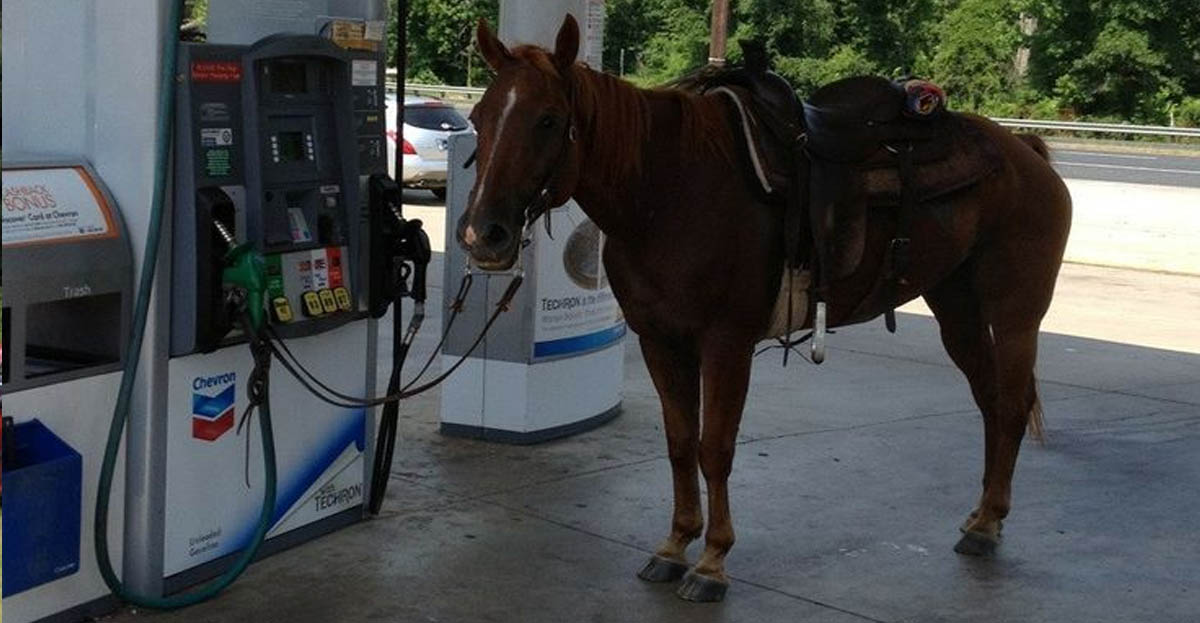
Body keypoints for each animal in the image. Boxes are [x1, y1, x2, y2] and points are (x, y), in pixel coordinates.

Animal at [453, 14, 1075, 602]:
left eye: (548, 120)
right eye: (480, 116)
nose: (484, 235)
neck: (669, 191)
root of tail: (1026, 152)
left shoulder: (725, 344)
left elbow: (715, 448)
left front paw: (712, 562)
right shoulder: (661, 341)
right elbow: (680, 443)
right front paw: (675, 545)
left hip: (1015, 315)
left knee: (1011, 406)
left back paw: (988, 527)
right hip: (957, 310)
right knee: (990, 402)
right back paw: (982, 517)